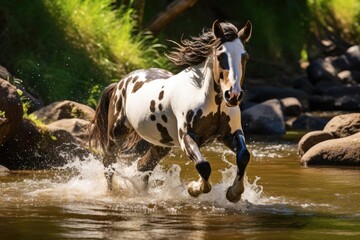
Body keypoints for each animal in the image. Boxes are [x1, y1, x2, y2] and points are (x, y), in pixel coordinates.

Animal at [89, 19, 252, 202]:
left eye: (245, 57)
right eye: (220, 56)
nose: (233, 95)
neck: (209, 101)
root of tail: (119, 83)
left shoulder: (231, 134)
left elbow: (244, 156)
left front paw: (234, 193)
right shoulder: (187, 137)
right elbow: (203, 165)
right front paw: (194, 188)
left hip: (161, 144)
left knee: (143, 166)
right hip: (116, 135)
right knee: (109, 164)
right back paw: (111, 194)